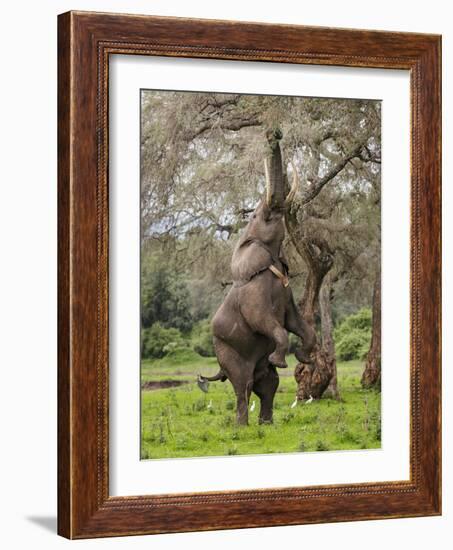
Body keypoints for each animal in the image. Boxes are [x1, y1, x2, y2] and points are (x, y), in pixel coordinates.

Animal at [198, 129, 314, 426]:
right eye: (261, 216)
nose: (274, 133)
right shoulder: (253, 296)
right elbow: (266, 322)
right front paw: (282, 360)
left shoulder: (287, 292)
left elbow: (297, 323)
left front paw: (303, 357)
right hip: (226, 350)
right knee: (244, 385)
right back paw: (242, 427)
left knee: (268, 385)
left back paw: (267, 424)